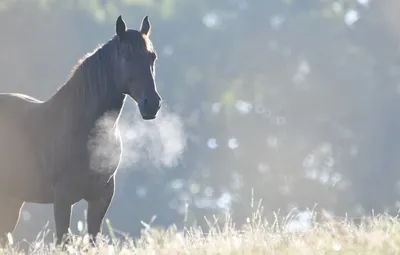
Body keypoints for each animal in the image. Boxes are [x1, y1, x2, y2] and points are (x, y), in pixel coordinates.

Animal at [0, 14, 161, 246]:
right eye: (127, 56)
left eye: (152, 57)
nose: (152, 104)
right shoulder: (62, 197)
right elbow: (63, 240)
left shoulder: (101, 197)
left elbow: (93, 238)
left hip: (13, 199)